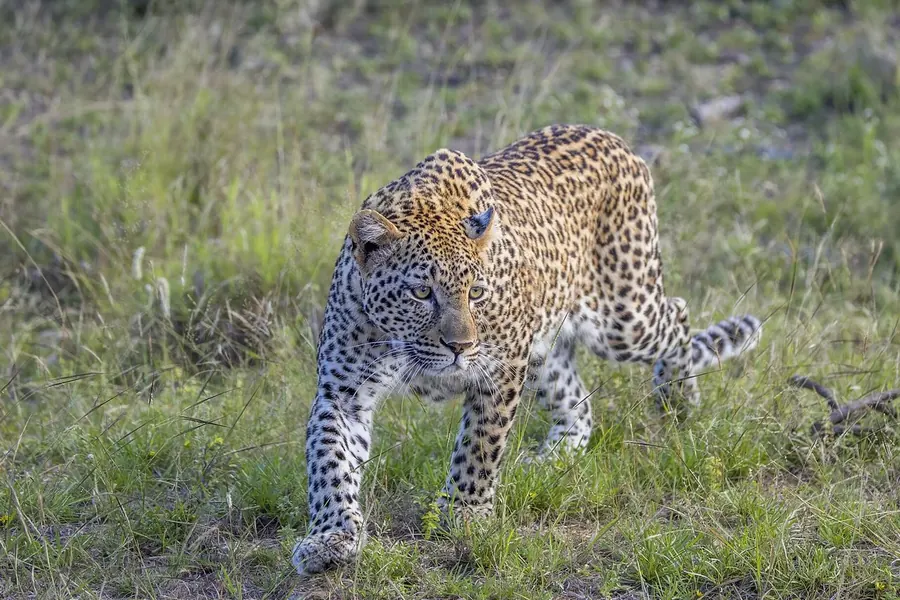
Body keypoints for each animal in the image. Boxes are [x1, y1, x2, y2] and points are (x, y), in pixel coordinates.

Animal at [292, 124, 762, 575]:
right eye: (421, 292)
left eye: (476, 293)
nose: (461, 346)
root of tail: (614, 139)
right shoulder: (343, 392)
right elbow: (330, 462)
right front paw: (331, 537)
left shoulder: (499, 369)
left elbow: (479, 446)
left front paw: (464, 513)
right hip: (546, 350)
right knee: (578, 406)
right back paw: (550, 459)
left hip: (624, 318)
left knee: (677, 312)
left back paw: (677, 399)